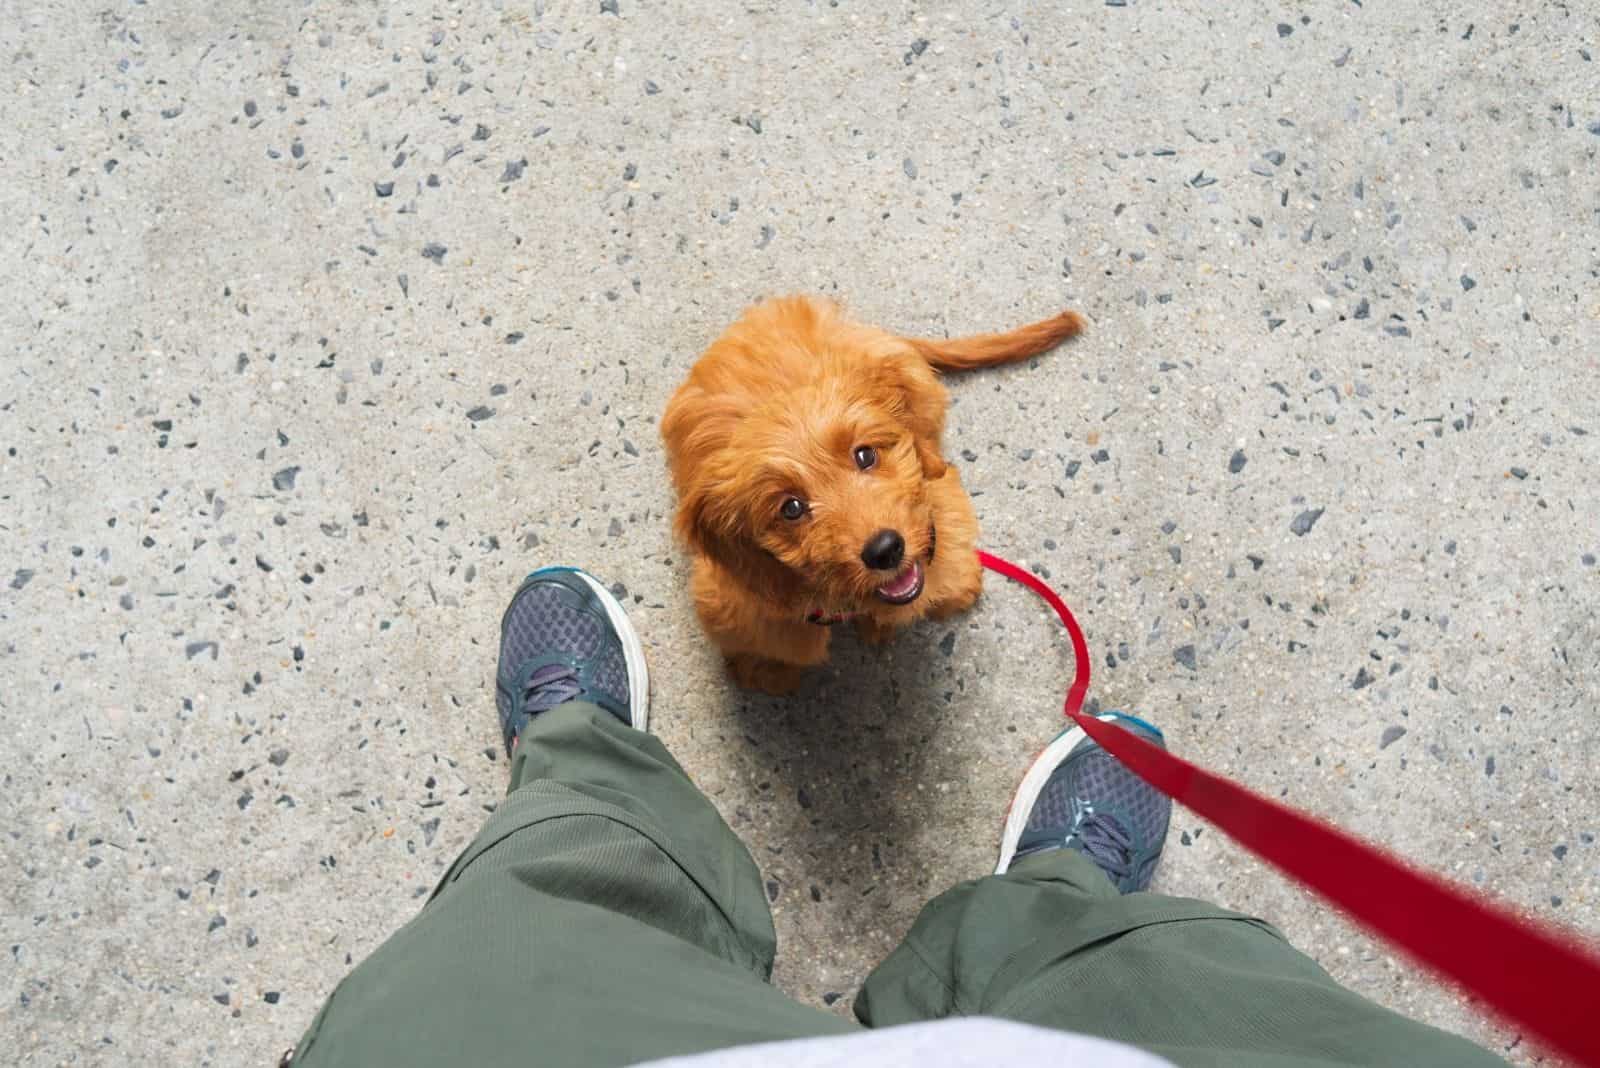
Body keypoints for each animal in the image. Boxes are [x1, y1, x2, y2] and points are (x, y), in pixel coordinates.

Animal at [662, 294, 1088, 693]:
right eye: (791, 508)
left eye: (865, 455)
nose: (885, 550)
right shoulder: (738, 600)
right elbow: (771, 641)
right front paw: (767, 670)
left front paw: (954, 588)